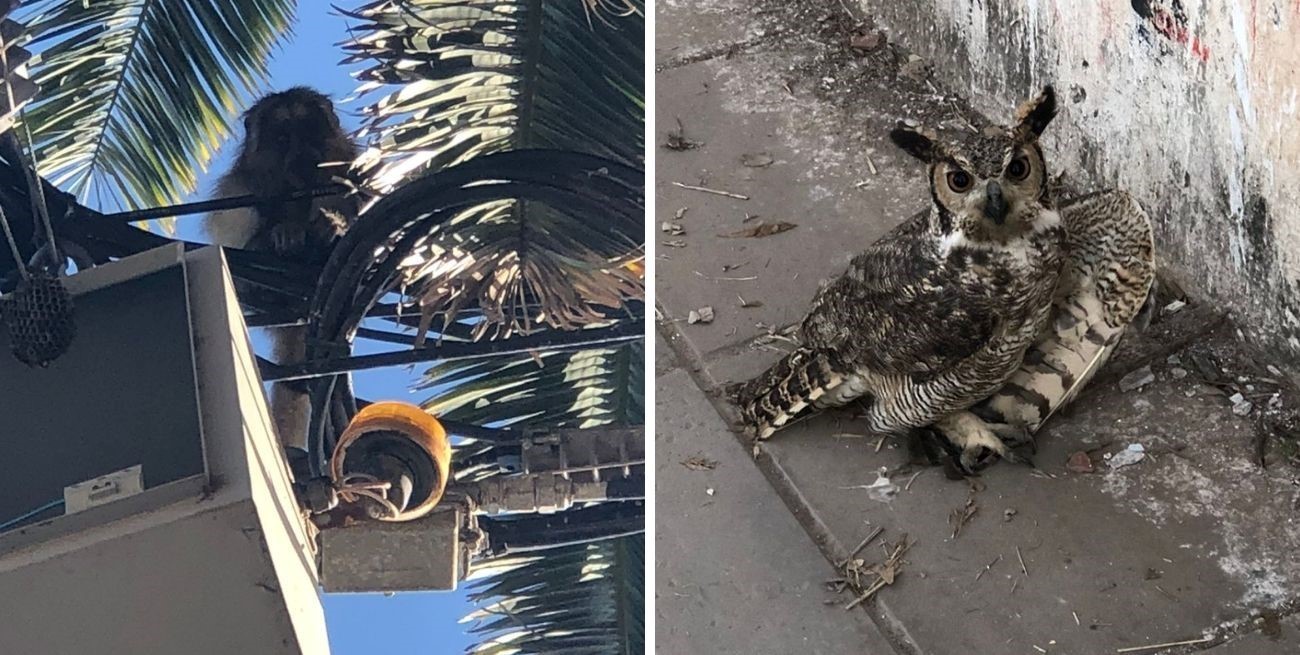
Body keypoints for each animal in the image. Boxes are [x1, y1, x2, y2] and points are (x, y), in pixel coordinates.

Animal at [203, 87, 362, 454]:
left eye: (308, 132)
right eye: (281, 138)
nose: (302, 155)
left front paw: (331, 227)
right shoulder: (239, 190)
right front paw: (282, 234)